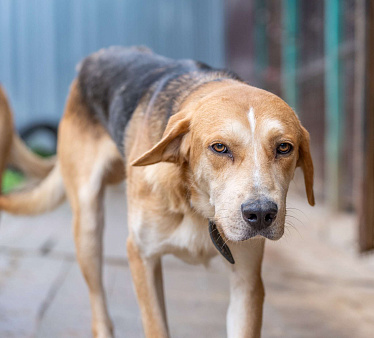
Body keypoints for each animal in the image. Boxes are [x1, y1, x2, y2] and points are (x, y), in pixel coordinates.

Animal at [0, 46, 314, 338]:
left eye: (284, 147)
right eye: (219, 147)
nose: (261, 214)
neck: (197, 205)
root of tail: (91, 59)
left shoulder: (247, 281)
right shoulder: (141, 255)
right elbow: (156, 326)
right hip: (88, 226)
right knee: (98, 303)